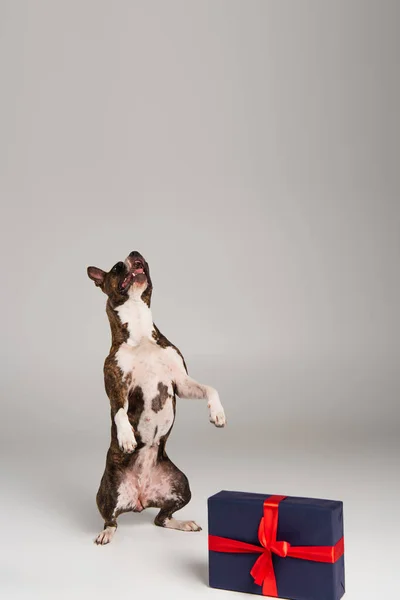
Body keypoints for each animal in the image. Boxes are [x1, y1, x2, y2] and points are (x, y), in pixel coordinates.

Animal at [86, 252, 225, 544]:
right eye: (117, 267)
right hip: (108, 491)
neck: (140, 330)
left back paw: (183, 523)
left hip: (181, 484)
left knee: (162, 518)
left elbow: (210, 388)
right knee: (111, 518)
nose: (134, 254)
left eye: (138, 257)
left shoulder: (180, 383)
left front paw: (217, 413)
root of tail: (140, 499)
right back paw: (106, 533)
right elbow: (119, 411)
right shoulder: (117, 386)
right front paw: (126, 436)